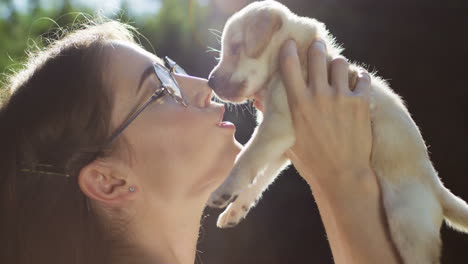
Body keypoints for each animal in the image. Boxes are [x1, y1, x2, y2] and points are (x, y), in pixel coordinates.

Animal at [207, 1, 468, 262]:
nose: (210, 81)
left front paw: (223, 190)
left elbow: (245, 160)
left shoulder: (276, 125)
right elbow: (259, 179)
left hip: (407, 223)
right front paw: (235, 208)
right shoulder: (282, 147)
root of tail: (437, 188)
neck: (297, 51)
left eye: (235, 47)